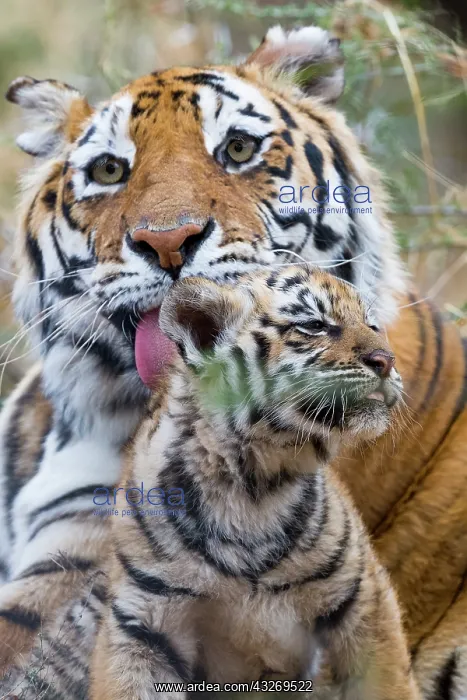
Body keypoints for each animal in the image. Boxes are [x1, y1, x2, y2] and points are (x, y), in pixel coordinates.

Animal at [91, 265, 421, 700]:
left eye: (372, 325)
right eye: (314, 325)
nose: (386, 360)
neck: (253, 483)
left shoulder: (359, 596)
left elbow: (388, 680)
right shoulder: (142, 622)